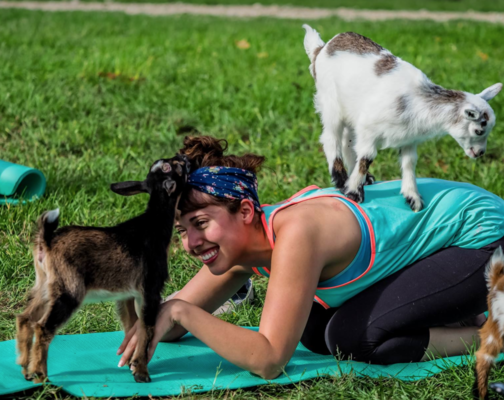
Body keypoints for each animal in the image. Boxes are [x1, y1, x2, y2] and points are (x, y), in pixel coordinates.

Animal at [14, 154, 191, 384]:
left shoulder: (128, 295)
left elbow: (132, 327)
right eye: (177, 167)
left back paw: (25, 368)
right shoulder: (151, 290)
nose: (184, 157)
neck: (154, 223)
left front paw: (131, 364)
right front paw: (142, 372)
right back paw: (40, 373)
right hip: (69, 291)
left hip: (45, 286)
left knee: (25, 318)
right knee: (43, 327)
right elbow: (147, 329)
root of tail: (47, 240)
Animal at [302, 24, 502, 212]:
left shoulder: (408, 137)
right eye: (479, 130)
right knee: (331, 138)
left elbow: (409, 163)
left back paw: (362, 178)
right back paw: (341, 178)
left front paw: (413, 198)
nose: (480, 153)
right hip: (330, 103)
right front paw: (353, 192)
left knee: (347, 141)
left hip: (350, 110)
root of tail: (322, 48)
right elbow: (367, 158)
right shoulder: (369, 129)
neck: (417, 99)